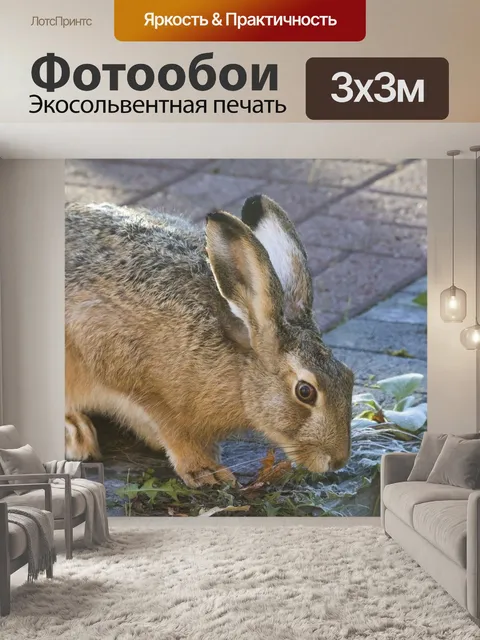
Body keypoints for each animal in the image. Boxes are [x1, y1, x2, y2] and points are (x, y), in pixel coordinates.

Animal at [65, 195, 354, 487]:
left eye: (348, 377)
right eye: (305, 391)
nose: (337, 460)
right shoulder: (132, 376)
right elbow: (172, 429)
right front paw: (206, 471)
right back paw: (77, 434)